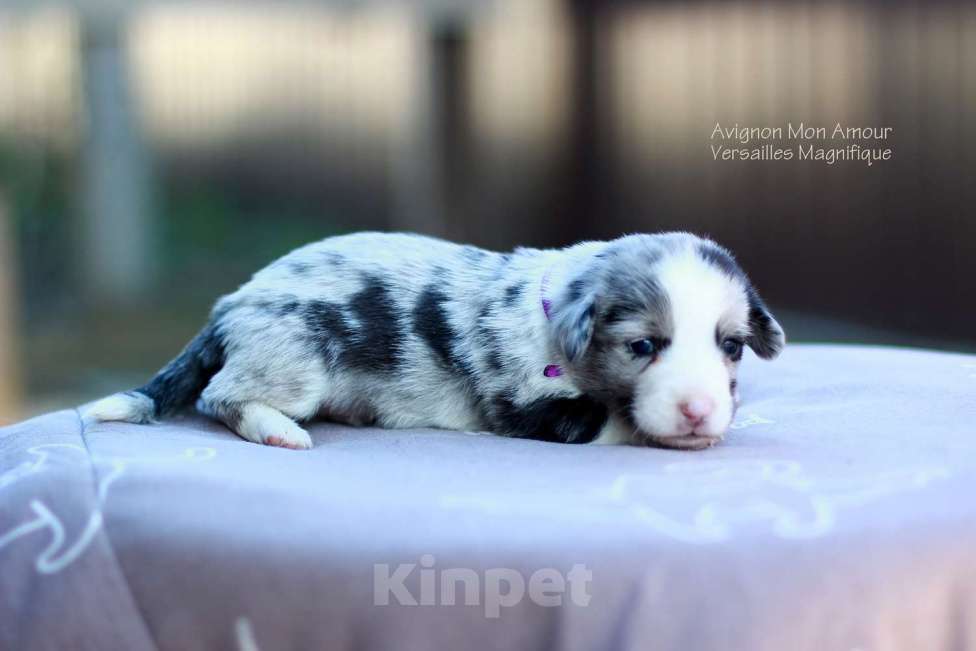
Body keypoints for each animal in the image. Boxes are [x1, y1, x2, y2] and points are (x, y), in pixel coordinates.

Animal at [84, 232, 784, 450]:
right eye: (642, 347)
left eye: (731, 346)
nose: (698, 410)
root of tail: (230, 303)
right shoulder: (528, 405)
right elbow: (608, 419)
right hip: (294, 357)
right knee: (219, 396)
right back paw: (279, 429)